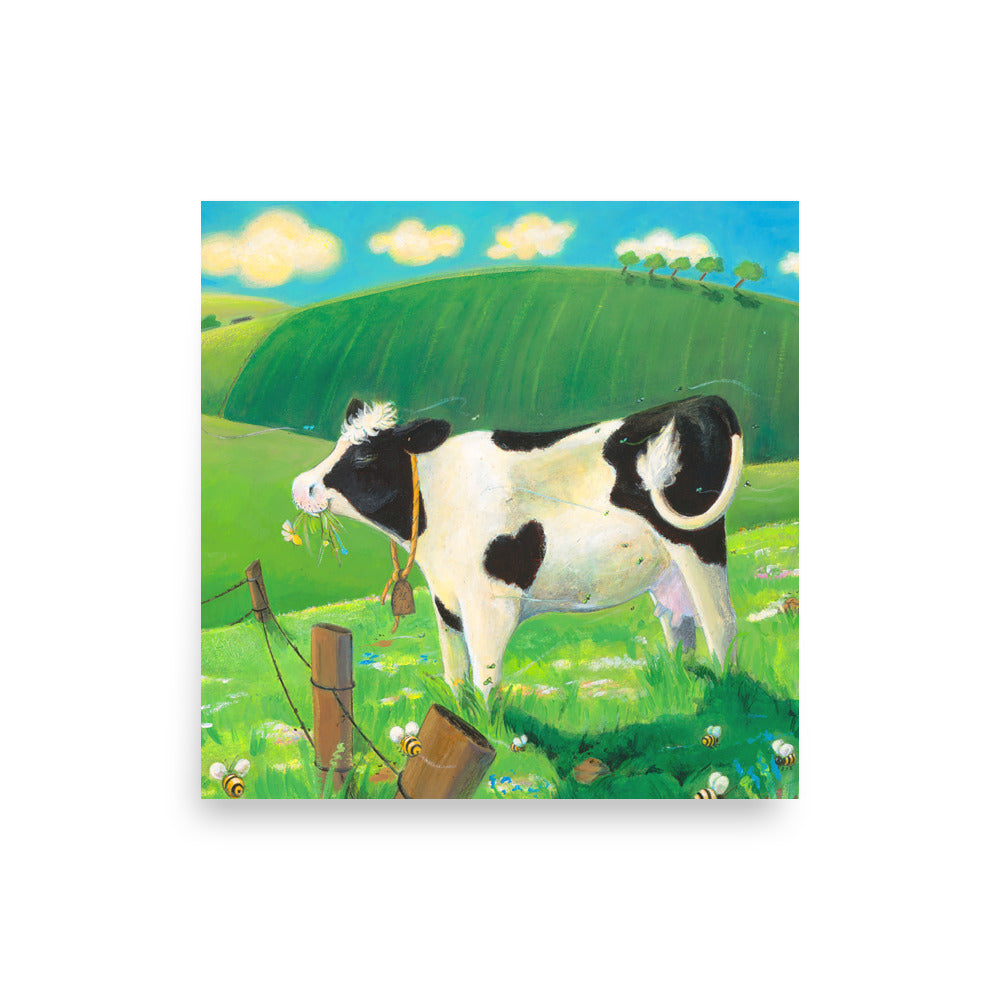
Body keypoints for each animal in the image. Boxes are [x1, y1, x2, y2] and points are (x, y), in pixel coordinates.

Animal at [292, 396, 743, 699]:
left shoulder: (490, 600)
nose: (301, 486)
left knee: (721, 624)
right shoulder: (445, 597)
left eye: (364, 457)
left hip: (698, 543)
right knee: (680, 626)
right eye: (338, 445)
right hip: (667, 571)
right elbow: (455, 671)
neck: (438, 498)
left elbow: (485, 677)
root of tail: (700, 401)